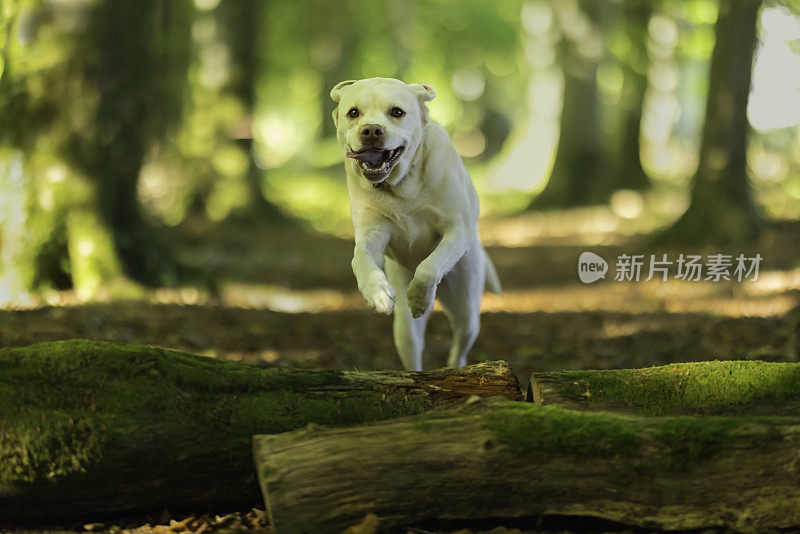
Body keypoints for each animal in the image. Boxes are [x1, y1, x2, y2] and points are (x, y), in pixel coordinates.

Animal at [332, 78, 500, 372]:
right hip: (403, 329)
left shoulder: (457, 230)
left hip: (467, 306)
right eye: (353, 113)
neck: (401, 187)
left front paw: (420, 300)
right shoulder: (372, 234)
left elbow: (429, 267)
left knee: (460, 347)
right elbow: (359, 259)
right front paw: (376, 292)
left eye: (397, 112)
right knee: (412, 349)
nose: (371, 130)